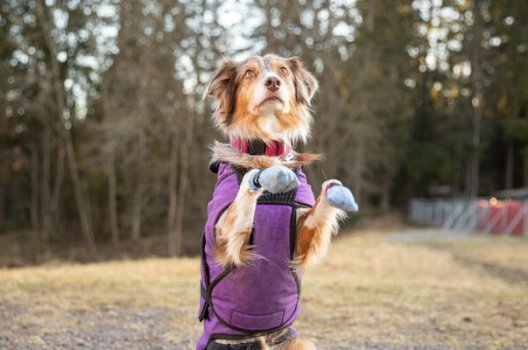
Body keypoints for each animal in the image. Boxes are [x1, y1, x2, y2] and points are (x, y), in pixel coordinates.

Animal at [198, 54, 358, 350]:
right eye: (249, 73)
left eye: (282, 70)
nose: (273, 82)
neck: (265, 144)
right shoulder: (224, 234)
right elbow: (246, 192)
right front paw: (264, 177)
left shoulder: (301, 235)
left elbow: (320, 205)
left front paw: (335, 191)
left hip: (296, 342)